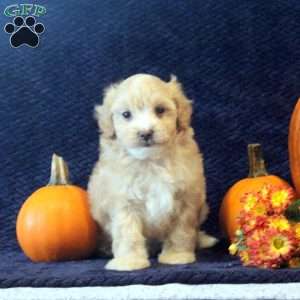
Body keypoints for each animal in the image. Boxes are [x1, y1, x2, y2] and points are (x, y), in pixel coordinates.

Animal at [88, 74, 217, 270]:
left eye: (160, 110)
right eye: (126, 114)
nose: (146, 133)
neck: (151, 161)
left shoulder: (186, 198)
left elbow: (181, 231)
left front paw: (177, 256)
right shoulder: (124, 202)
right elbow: (128, 234)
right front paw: (130, 261)